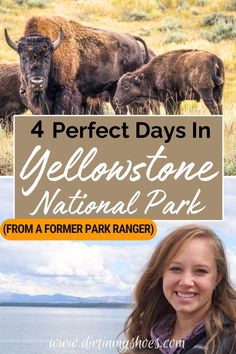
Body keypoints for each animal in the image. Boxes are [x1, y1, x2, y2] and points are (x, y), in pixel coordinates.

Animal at [4, 16, 150, 114]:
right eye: (23, 57)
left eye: (47, 57)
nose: (36, 82)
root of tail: (132, 39)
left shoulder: (66, 94)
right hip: (114, 90)